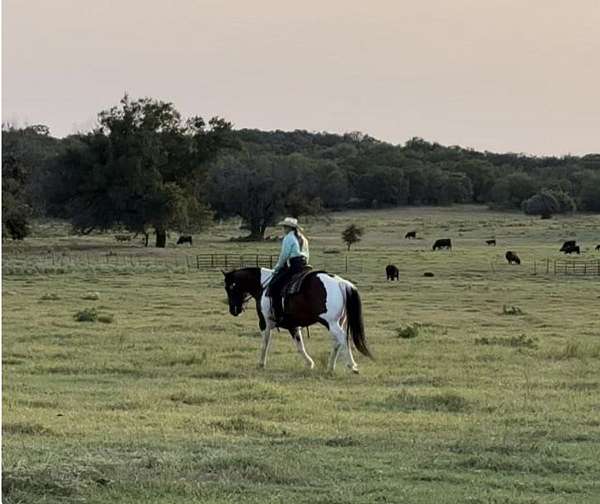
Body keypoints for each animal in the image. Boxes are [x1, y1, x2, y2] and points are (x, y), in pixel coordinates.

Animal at [223, 268, 372, 374]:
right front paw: (310, 363)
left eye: (229, 288)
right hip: (338, 322)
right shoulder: (293, 325)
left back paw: (352, 365)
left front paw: (261, 364)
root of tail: (342, 283)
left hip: (331, 323)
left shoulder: (264, 323)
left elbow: (264, 344)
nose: (233, 310)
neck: (263, 286)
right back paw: (330, 367)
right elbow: (300, 346)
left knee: (342, 337)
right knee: (337, 342)